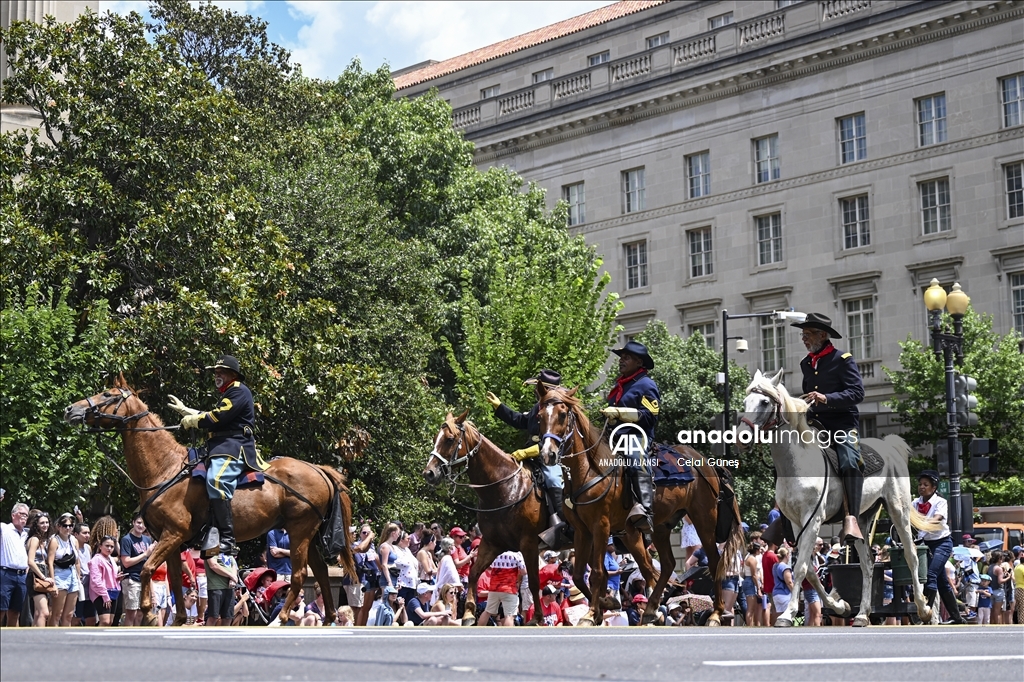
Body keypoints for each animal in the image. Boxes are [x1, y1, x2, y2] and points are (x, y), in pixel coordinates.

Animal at [64, 374, 358, 622]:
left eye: (107, 394)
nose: (70, 410)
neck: (165, 468)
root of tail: (318, 469)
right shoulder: (170, 541)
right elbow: (173, 578)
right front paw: (179, 619)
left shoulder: (173, 534)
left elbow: (147, 568)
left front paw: (148, 613)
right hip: (307, 535)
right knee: (320, 571)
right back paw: (329, 618)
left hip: (300, 532)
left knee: (299, 575)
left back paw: (283, 617)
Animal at [421, 411, 548, 622]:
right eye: (434, 438)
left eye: (449, 439)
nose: (429, 473)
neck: (505, 489)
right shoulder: (492, 543)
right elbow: (474, 573)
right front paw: (468, 612)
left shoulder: (529, 543)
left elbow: (534, 582)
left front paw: (537, 618)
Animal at [536, 385, 745, 622]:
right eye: (539, 416)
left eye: (562, 414)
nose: (548, 453)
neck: (590, 470)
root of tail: (705, 462)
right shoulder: (582, 530)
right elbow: (580, 575)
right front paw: (603, 605)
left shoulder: (601, 526)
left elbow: (597, 572)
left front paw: (591, 613)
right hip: (658, 528)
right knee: (666, 565)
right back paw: (652, 608)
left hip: (704, 521)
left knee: (713, 561)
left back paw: (716, 614)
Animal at [737, 368, 942, 622]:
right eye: (745, 401)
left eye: (765, 402)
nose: (741, 437)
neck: (797, 463)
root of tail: (889, 447)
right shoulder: (796, 523)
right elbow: (811, 571)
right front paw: (839, 606)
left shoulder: (812, 520)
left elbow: (801, 568)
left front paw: (787, 614)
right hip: (861, 519)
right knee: (867, 564)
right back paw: (862, 614)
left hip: (898, 509)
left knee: (911, 555)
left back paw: (923, 608)